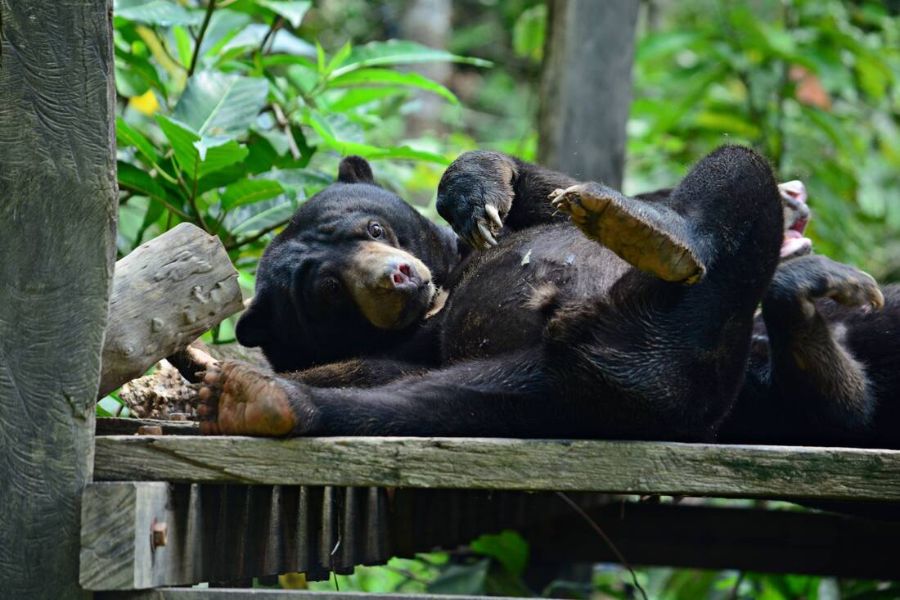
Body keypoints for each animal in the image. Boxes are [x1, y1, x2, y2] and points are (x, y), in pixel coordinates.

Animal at [199, 144, 900, 446]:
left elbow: (545, 194)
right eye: (327, 292)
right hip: (632, 369)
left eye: (372, 229)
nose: (396, 276)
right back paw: (258, 400)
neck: (440, 293)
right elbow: (374, 369)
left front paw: (477, 190)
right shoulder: (412, 343)